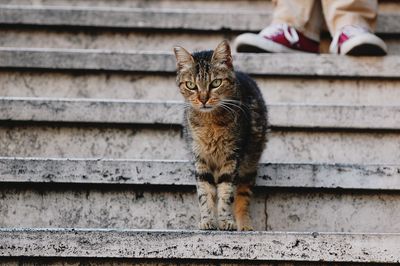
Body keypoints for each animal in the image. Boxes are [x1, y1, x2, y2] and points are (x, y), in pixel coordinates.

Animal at [173, 40, 268, 231]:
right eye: (191, 85)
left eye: (215, 83)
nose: (203, 99)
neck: (210, 123)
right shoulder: (200, 158)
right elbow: (205, 193)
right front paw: (207, 220)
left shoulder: (232, 158)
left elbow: (226, 192)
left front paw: (225, 221)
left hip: (250, 162)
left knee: (243, 196)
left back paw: (244, 224)